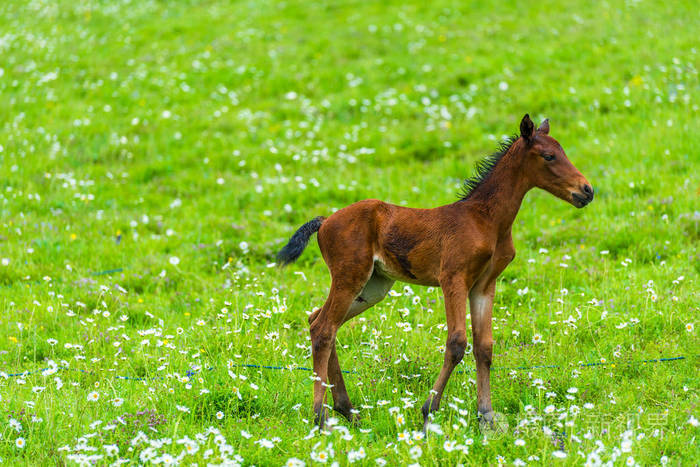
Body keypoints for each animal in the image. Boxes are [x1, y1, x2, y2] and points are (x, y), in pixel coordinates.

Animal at [276, 115, 592, 430]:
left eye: (563, 151)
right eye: (549, 156)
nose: (587, 191)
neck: (486, 220)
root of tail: (325, 221)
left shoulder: (484, 285)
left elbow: (484, 347)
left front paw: (486, 417)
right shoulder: (453, 278)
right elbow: (457, 343)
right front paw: (429, 411)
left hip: (374, 286)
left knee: (318, 320)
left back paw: (347, 410)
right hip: (349, 277)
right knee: (324, 329)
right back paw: (321, 416)